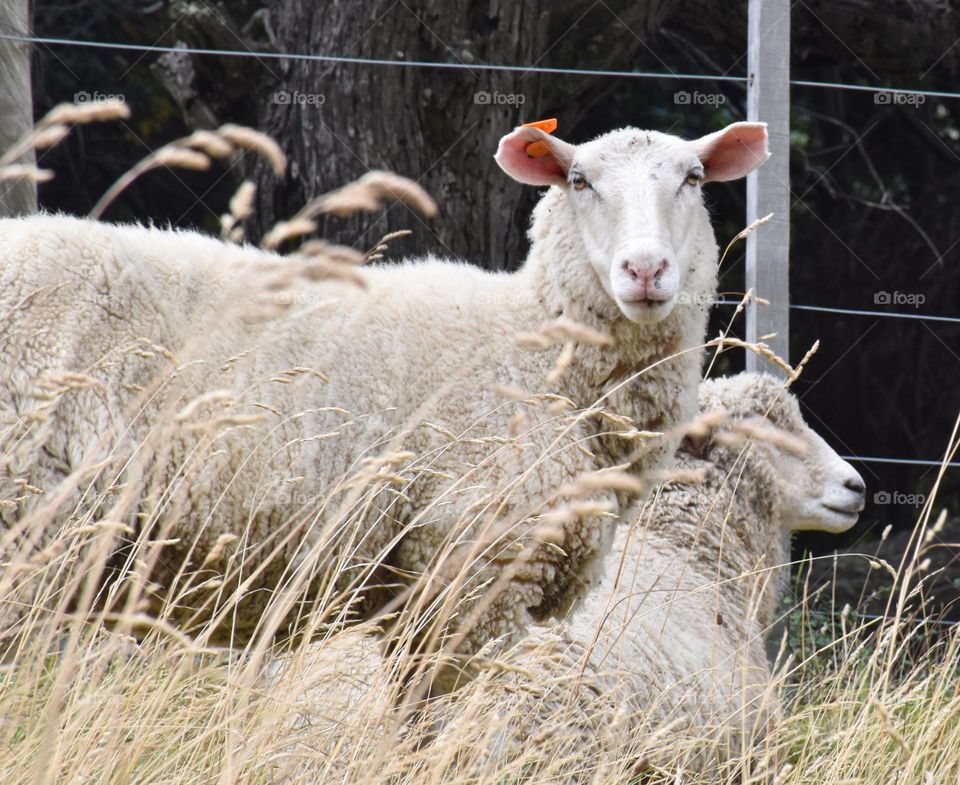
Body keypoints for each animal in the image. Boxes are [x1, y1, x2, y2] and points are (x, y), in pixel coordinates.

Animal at [0, 122, 768, 660]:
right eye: (579, 180)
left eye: (693, 176)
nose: (646, 270)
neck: (536, 348)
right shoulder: (471, 577)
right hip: (29, 513)